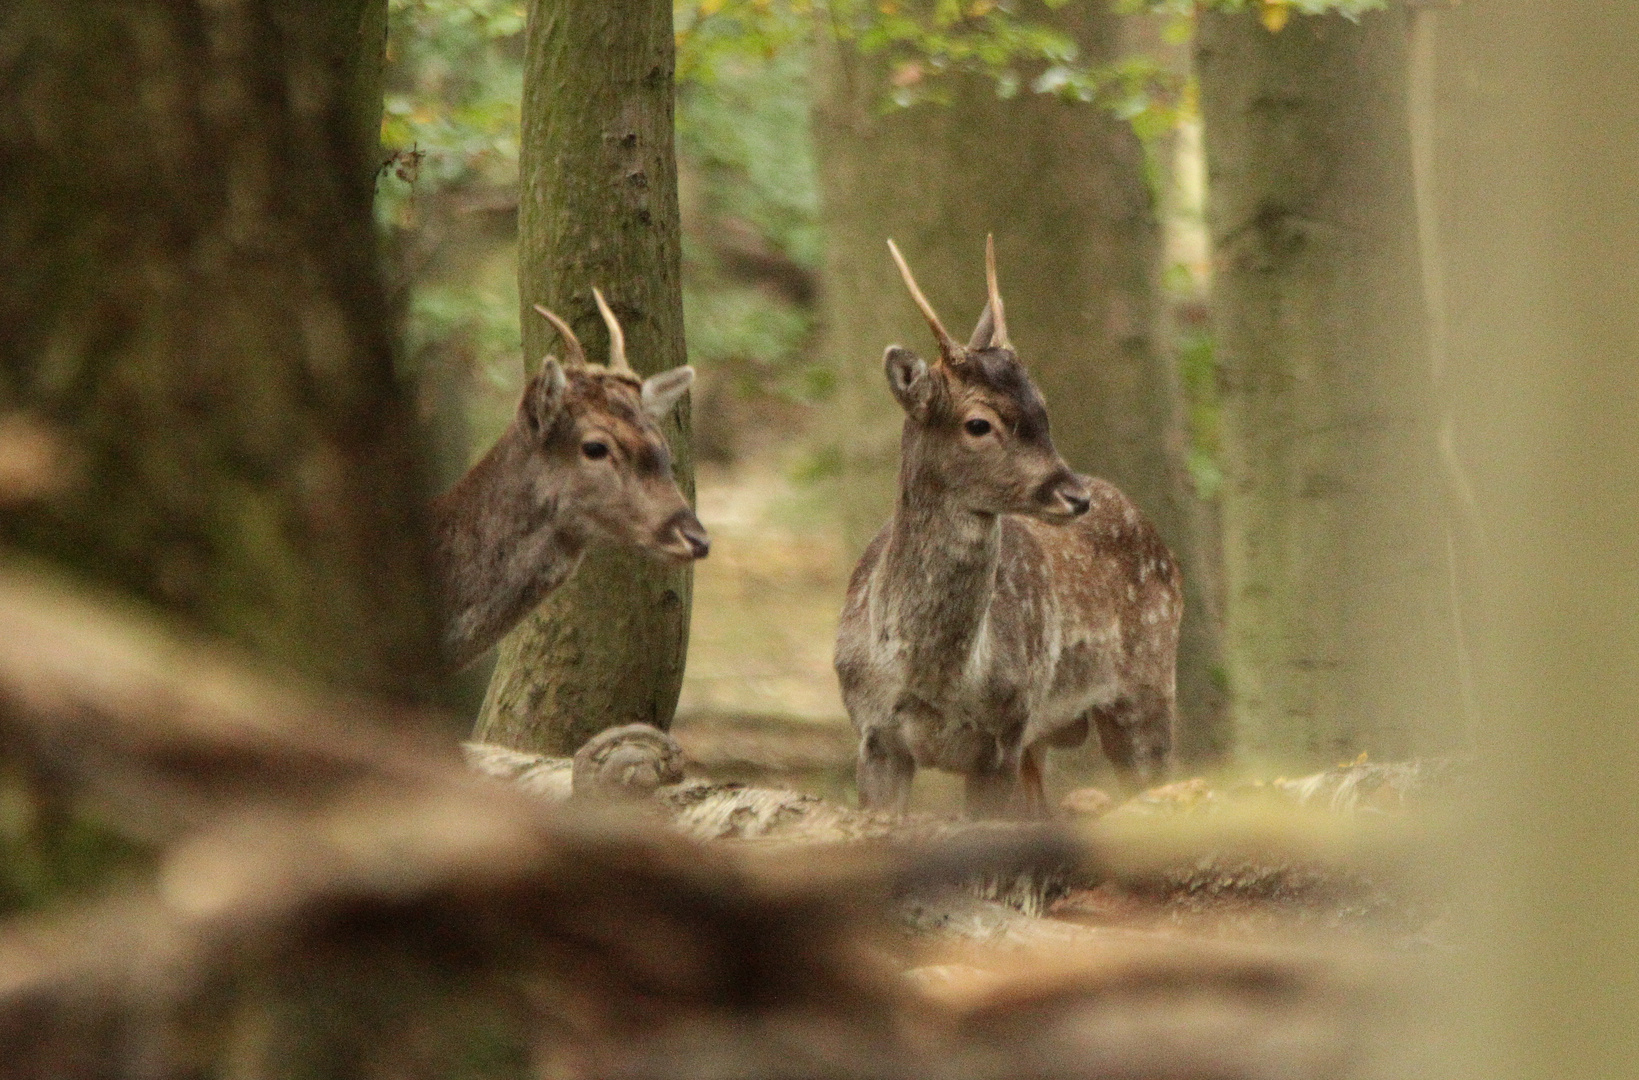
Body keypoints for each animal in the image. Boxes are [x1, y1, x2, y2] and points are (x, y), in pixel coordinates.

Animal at [832, 234, 1180, 812]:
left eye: (1043, 408)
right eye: (979, 424)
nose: (1074, 495)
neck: (934, 682)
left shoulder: (1003, 733)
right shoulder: (873, 736)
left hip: (1147, 693)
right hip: (1050, 737)